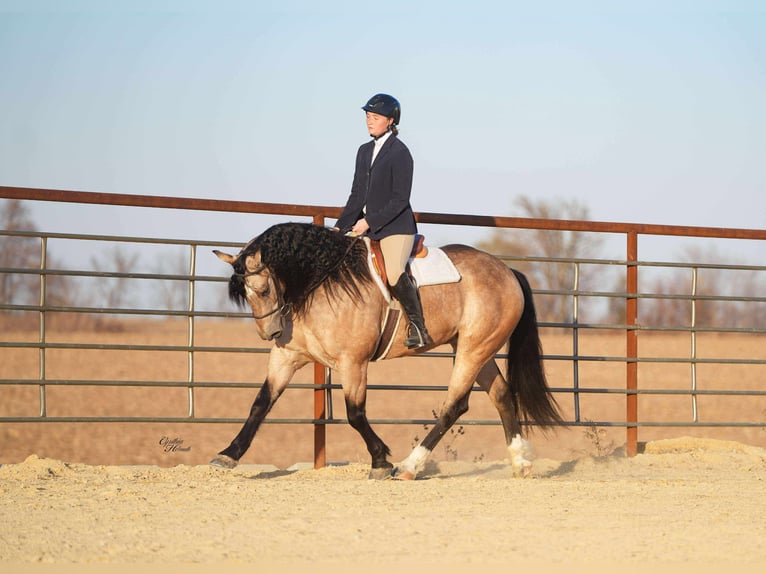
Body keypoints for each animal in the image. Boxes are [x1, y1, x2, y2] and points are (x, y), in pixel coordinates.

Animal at [210, 222, 562, 479]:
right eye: (243, 293)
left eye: (262, 289)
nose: (271, 332)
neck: (321, 283)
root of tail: (508, 271)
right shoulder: (286, 357)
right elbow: (261, 403)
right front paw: (227, 455)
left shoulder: (353, 362)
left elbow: (355, 414)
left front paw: (380, 461)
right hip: (474, 347)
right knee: (501, 394)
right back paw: (521, 463)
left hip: (474, 349)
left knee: (454, 405)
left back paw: (408, 467)